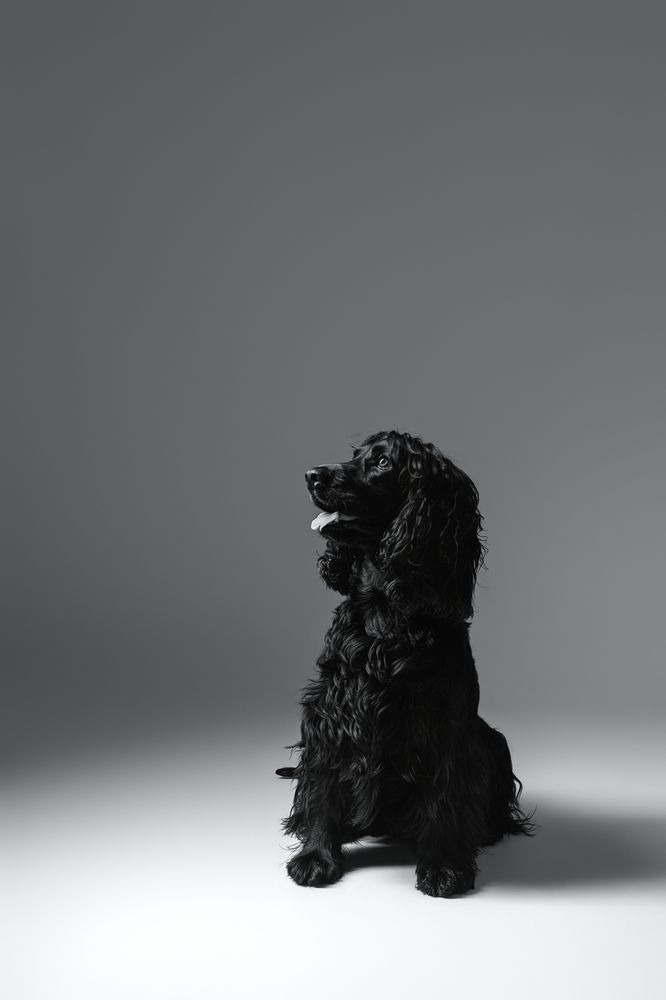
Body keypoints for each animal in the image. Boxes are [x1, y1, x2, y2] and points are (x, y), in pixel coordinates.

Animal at [278, 430, 532, 896]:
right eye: (354, 454)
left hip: (492, 740)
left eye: (382, 462)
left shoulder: (444, 725)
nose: (311, 475)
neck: (386, 607)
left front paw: (444, 864)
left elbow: (443, 795)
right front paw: (316, 855)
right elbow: (322, 784)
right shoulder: (329, 713)